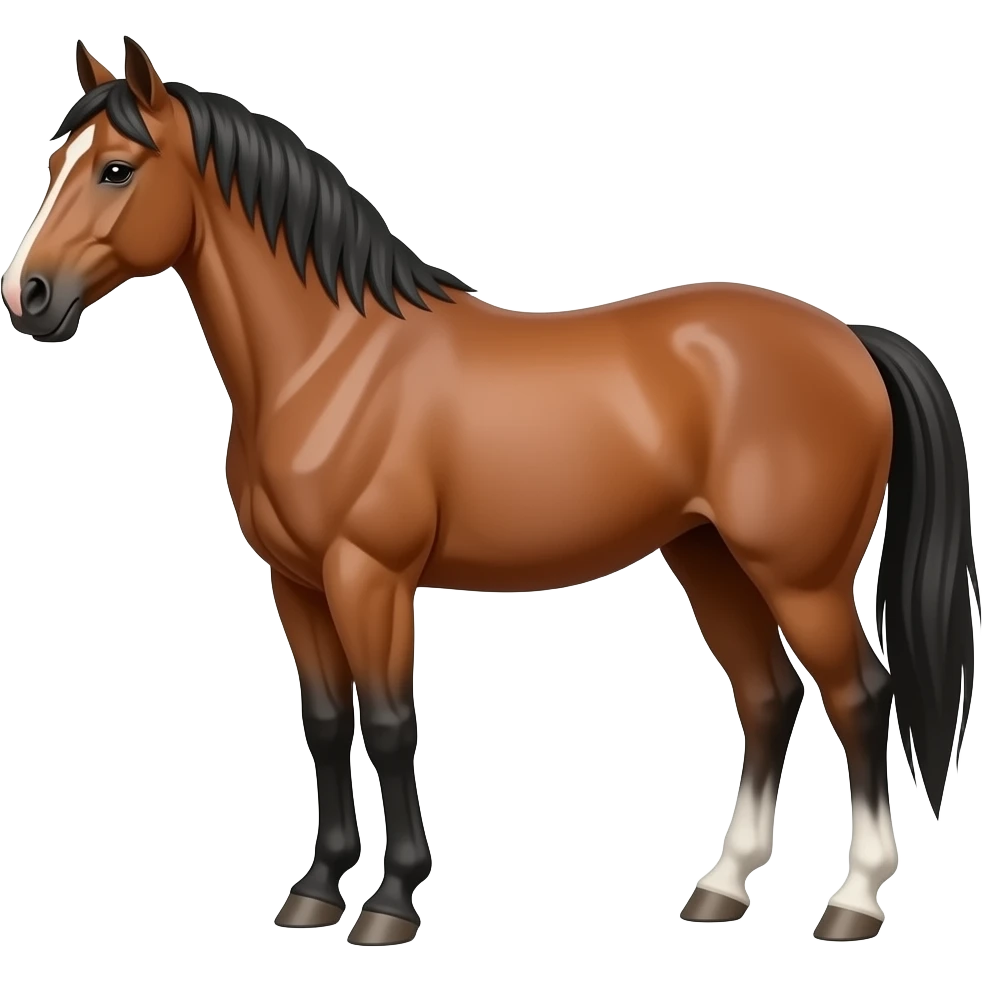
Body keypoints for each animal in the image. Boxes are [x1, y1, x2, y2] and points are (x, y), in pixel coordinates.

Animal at [2, 36, 977, 946]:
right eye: (54, 165)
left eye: (117, 169)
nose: (29, 297)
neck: (329, 359)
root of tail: (848, 339)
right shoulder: (298, 581)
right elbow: (325, 721)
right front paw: (315, 890)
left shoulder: (370, 576)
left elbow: (389, 723)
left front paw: (390, 903)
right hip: (710, 559)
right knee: (768, 697)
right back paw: (721, 889)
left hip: (800, 576)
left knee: (861, 699)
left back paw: (852, 902)